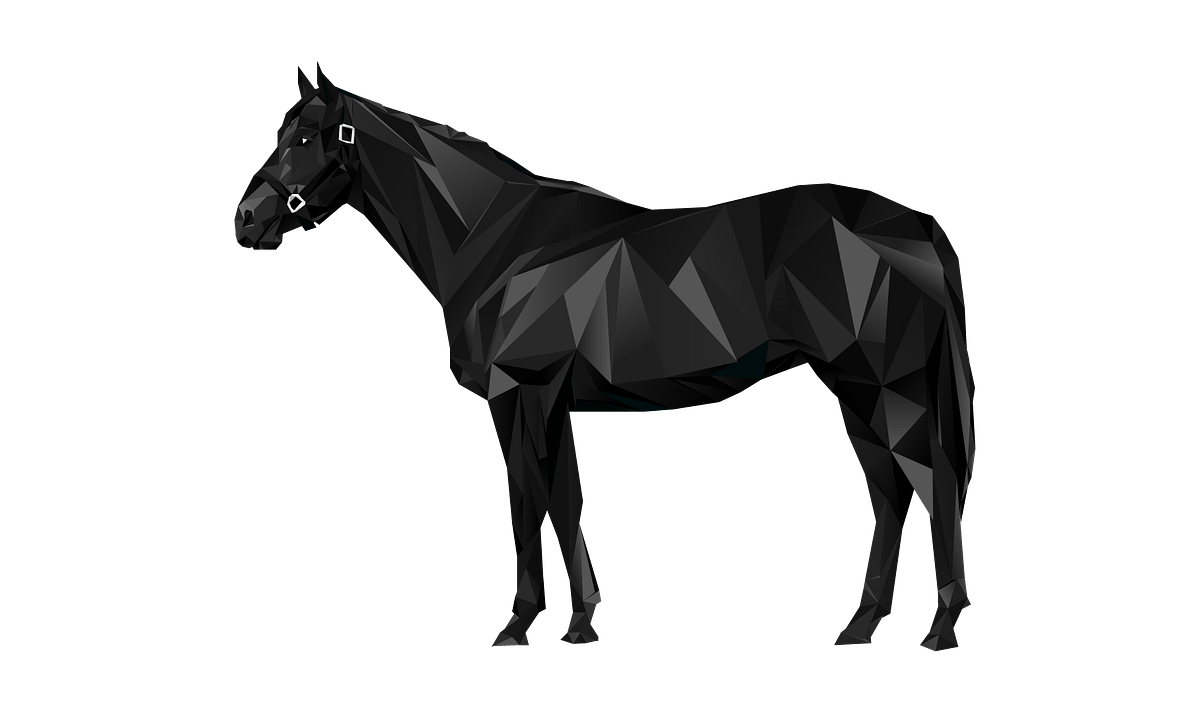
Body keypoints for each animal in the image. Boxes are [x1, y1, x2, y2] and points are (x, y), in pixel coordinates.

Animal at [231, 63, 980, 652]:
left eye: (307, 136)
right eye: (283, 132)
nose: (242, 220)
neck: (495, 242)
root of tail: (915, 228)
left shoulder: (519, 394)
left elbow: (530, 505)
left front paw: (524, 627)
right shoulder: (550, 400)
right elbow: (562, 500)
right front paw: (579, 622)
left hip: (891, 389)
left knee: (933, 486)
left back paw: (938, 632)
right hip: (854, 392)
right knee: (888, 497)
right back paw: (861, 627)